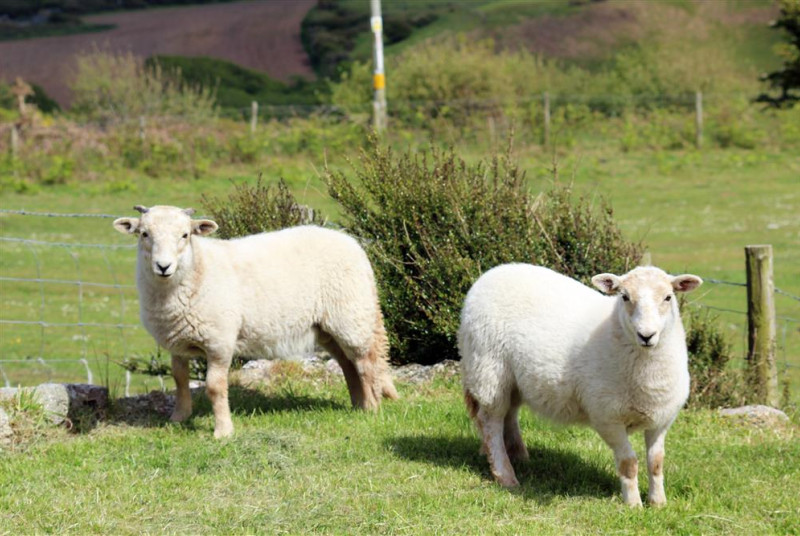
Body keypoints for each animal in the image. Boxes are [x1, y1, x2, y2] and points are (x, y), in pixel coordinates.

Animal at [113, 205, 398, 438]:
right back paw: (358, 406)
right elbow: (179, 380)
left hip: (351, 315)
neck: (196, 269)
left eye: (185, 235)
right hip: (328, 326)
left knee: (366, 363)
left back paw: (372, 408)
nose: (163, 266)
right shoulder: (178, 342)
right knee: (348, 364)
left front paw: (223, 431)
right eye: (144, 234)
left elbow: (215, 387)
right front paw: (179, 418)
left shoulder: (219, 341)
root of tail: (352, 243)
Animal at [458, 264, 702, 506]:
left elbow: (656, 462)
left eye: (668, 297)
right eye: (624, 297)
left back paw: (518, 455)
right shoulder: (608, 418)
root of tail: (492, 273)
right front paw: (633, 504)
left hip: (513, 380)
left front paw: (658, 503)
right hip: (489, 370)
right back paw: (505, 473)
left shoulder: (661, 419)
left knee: (509, 414)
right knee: (491, 421)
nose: (646, 335)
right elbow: (629, 463)